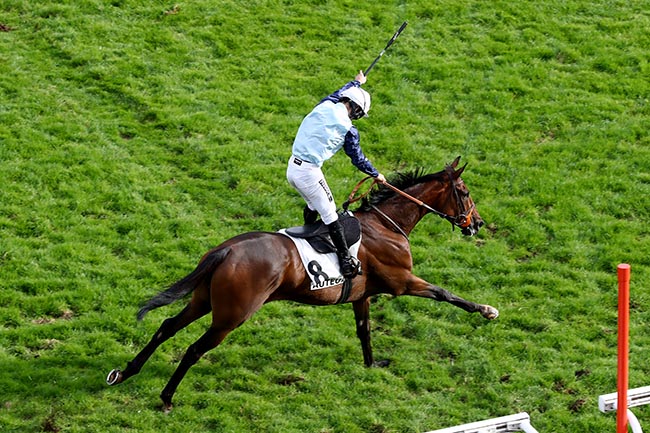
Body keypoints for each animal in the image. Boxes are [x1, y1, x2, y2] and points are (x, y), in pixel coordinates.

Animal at [109, 156, 498, 412]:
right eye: (464, 192)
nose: (477, 223)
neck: (387, 225)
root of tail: (226, 250)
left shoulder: (363, 294)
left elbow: (364, 330)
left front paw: (372, 365)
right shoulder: (402, 281)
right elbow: (445, 293)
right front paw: (486, 309)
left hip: (204, 300)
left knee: (167, 326)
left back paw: (126, 372)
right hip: (232, 315)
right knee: (193, 349)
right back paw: (166, 397)